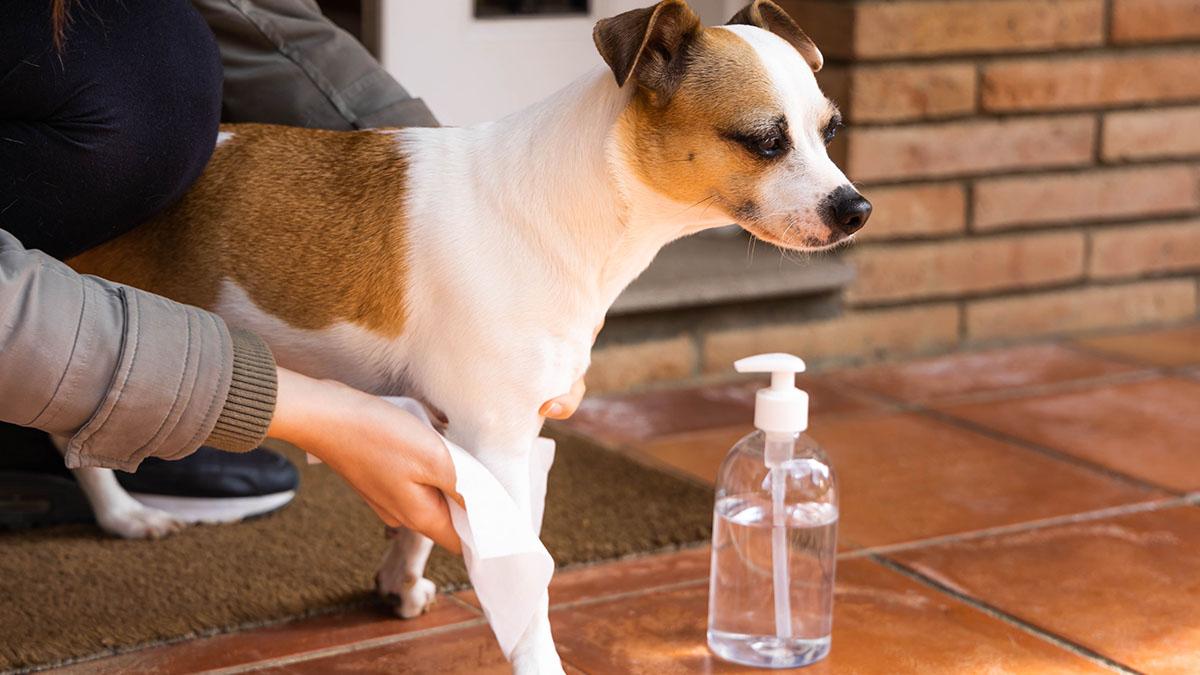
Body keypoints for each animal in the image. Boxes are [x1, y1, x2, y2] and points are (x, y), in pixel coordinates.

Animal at [63, 0, 873, 667]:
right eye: (764, 140)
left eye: (830, 129)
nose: (856, 208)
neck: (567, 204)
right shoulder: (500, 438)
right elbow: (524, 586)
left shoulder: (447, 418)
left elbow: (421, 519)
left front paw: (400, 578)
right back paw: (123, 513)